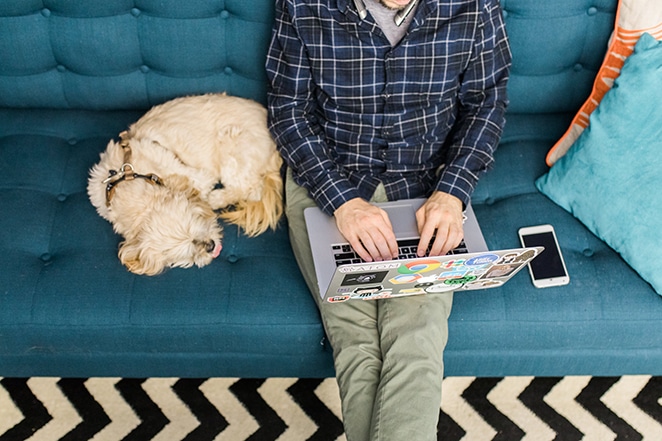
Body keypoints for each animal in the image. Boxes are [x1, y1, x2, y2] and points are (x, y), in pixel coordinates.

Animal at [87, 93, 282, 276]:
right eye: (188, 252)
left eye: (195, 223)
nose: (211, 246)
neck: (128, 177)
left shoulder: (201, 177)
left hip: (232, 141)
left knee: (251, 189)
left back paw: (216, 198)